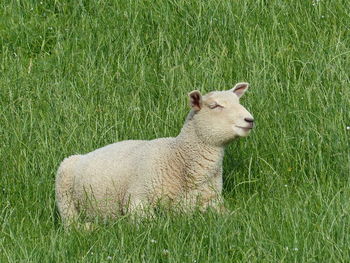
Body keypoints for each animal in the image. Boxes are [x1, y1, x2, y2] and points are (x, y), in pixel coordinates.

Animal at [56, 83, 256, 227]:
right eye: (214, 106)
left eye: (238, 102)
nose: (250, 119)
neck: (178, 157)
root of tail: (85, 154)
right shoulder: (137, 200)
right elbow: (154, 223)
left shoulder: (213, 201)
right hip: (63, 188)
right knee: (70, 223)